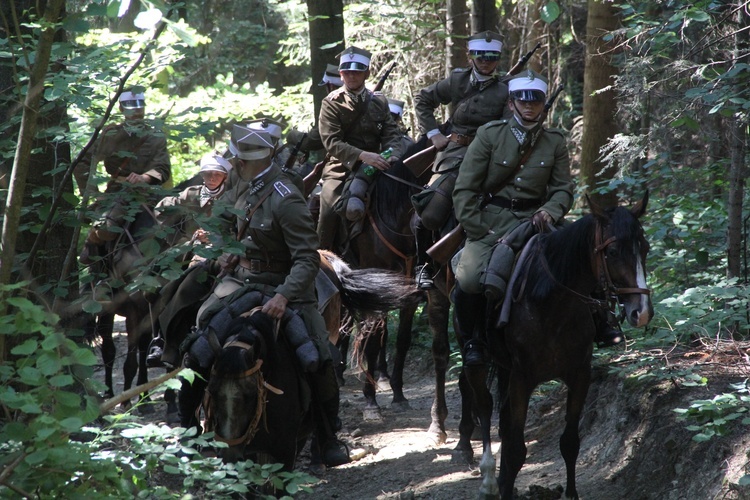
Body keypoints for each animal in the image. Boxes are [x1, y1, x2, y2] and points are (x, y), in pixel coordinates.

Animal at [462, 193, 656, 498]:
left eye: (644, 248)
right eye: (612, 252)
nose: (643, 312)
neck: (551, 303)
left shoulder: (580, 374)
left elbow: (569, 443)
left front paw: (570, 493)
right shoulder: (522, 379)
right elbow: (516, 449)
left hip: (506, 369)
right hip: (476, 359)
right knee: (483, 404)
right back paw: (489, 480)